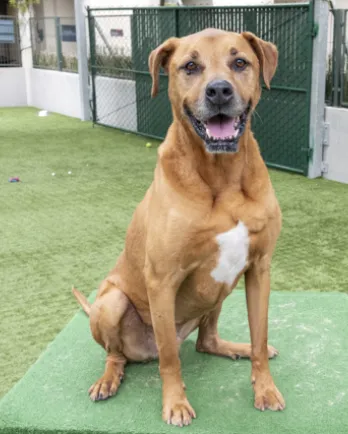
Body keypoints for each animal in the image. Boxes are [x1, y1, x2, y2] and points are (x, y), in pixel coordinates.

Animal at [73, 28, 286, 428]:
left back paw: (236, 348)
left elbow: (261, 335)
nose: (219, 91)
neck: (222, 178)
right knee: (120, 354)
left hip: (220, 289)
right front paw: (175, 404)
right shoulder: (162, 279)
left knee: (206, 341)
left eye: (239, 62)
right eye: (190, 66)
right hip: (112, 302)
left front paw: (265, 388)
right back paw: (108, 378)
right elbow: (171, 358)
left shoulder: (259, 268)